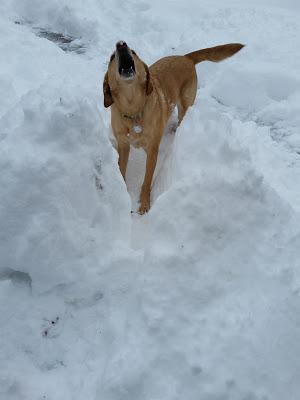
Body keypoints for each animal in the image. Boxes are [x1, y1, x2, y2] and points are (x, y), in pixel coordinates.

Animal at [103, 40, 244, 214]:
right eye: (112, 57)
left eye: (133, 52)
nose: (121, 44)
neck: (133, 110)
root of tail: (185, 57)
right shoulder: (123, 146)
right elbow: (121, 169)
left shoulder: (152, 150)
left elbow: (147, 179)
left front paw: (144, 203)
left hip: (185, 104)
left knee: (182, 117)